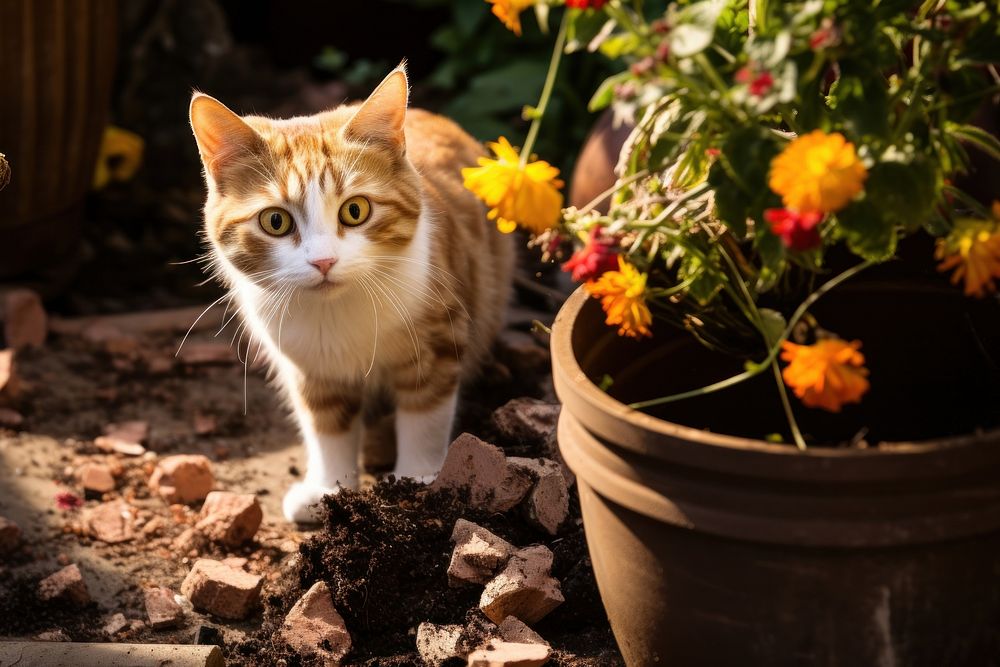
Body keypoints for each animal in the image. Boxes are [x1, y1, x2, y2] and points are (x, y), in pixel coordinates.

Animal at [189, 66, 516, 520]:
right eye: (275, 221)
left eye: (355, 210)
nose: (323, 261)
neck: (337, 312)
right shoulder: (310, 367)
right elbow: (328, 426)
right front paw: (329, 490)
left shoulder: (438, 338)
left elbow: (425, 414)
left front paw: (417, 480)